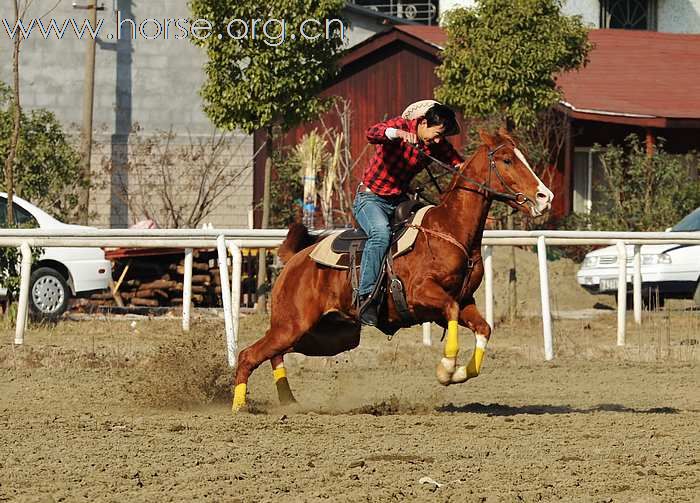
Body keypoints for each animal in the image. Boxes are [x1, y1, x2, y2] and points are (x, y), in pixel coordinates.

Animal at [232, 130, 556, 414]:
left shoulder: (465, 301)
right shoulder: (421, 295)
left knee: (273, 354)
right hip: (293, 325)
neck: (448, 230)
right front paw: (446, 368)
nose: (545, 197)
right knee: (249, 355)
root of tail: (295, 261)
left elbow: (484, 327)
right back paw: (239, 407)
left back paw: (288, 402)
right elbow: (450, 310)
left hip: (325, 335)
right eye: (507, 160)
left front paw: (461, 372)